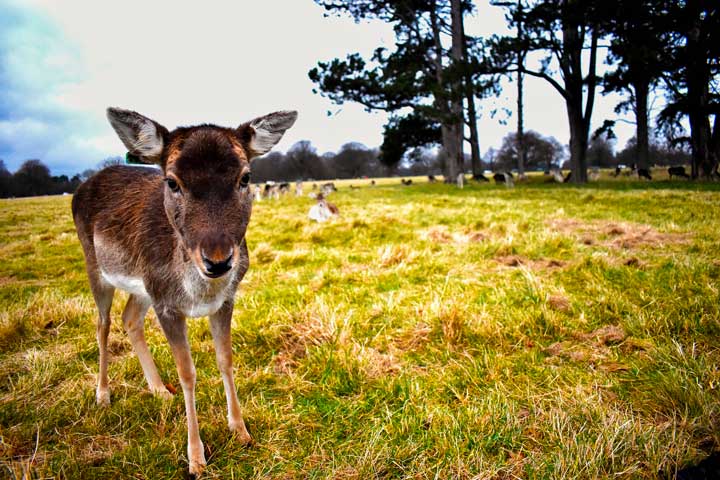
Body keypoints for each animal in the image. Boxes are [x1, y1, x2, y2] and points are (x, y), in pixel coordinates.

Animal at [71, 106, 296, 476]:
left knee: (129, 318)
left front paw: (241, 431)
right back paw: (102, 394)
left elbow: (225, 359)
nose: (219, 261)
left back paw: (159, 390)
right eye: (172, 182)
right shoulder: (167, 305)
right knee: (103, 324)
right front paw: (196, 459)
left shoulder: (224, 300)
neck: (199, 292)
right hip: (96, 267)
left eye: (245, 177)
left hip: (143, 287)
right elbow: (188, 373)